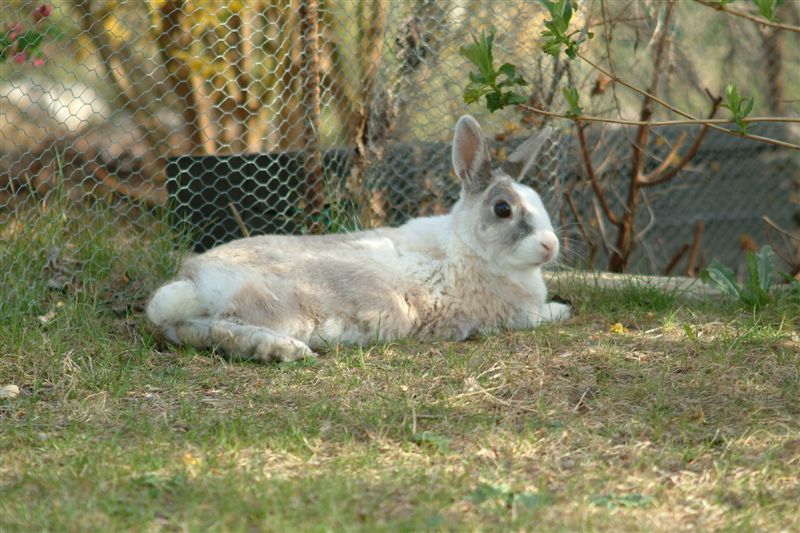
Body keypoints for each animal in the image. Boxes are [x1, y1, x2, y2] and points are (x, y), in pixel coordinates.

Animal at [145, 115, 568, 362]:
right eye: (503, 209)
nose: (551, 246)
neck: (469, 249)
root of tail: (193, 280)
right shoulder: (513, 315)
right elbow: (544, 315)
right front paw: (563, 310)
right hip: (282, 308)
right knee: (223, 328)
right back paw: (285, 350)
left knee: (191, 331)